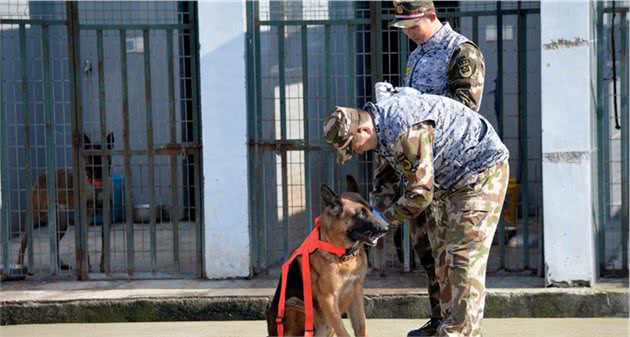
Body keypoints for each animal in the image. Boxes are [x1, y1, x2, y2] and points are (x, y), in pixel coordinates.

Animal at [17, 133, 115, 272]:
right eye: (90, 158)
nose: (98, 169)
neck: (97, 186)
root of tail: (41, 177)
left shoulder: (106, 219)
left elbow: (105, 244)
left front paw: (103, 267)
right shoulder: (86, 218)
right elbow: (85, 244)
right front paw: (88, 267)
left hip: (62, 224)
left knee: (55, 243)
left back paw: (60, 264)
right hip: (34, 218)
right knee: (23, 243)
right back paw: (19, 266)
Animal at [266, 176, 388, 336]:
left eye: (371, 210)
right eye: (361, 214)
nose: (386, 228)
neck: (342, 255)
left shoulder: (356, 293)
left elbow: (361, 326)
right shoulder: (328, 300)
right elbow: (343, 331)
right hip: (294, 304)